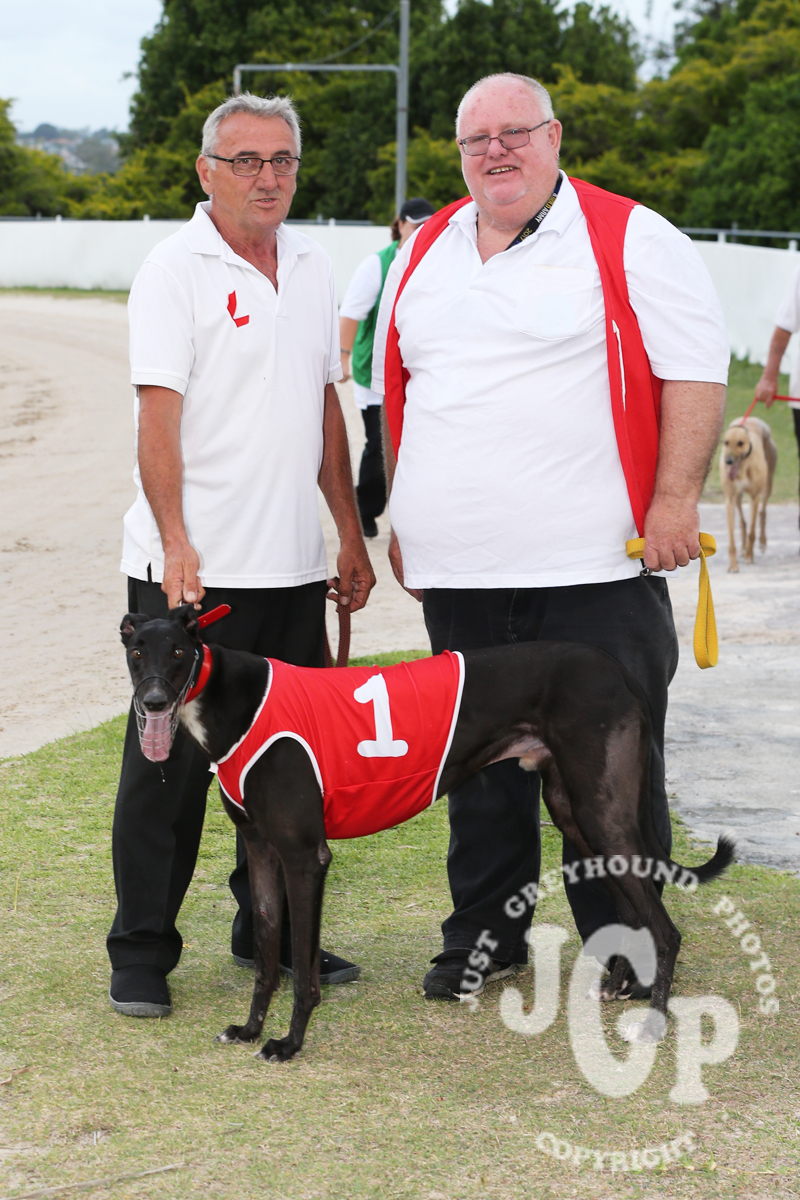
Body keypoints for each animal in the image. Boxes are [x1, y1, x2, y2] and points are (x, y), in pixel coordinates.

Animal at [121, 605, 734, 1061]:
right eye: (137, 651)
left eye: (178, 652)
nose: (153, 702)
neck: (232, 697)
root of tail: (616, 670)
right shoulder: (263, 850)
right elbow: (270, 955)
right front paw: (249, 1030)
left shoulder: (303, 856)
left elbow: (301, 971)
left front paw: (289, 1044)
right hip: (576, 814)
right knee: (635, 905)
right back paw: (624, 985)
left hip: (601, 812)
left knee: (665, 926)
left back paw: (654, 1020)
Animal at [720, 416, 777, 572]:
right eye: (726, 442)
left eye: (740, 443)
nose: (728, 462)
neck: (743, 467)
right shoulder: (729, 500)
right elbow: (732, 538)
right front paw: (733, 565)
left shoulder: (754, 497)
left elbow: (752, 531)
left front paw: (749, 557)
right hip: (738, 497)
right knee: (742, 521)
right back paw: (743, 548)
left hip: (768, 484)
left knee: (762, 512)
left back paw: (762, 542)